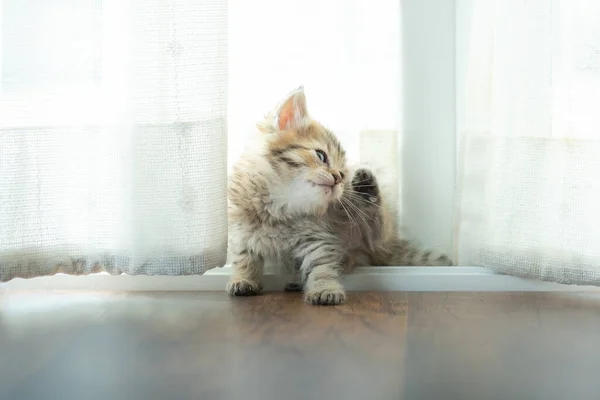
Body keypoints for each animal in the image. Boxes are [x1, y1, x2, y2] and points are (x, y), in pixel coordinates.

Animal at [225, 88, 450, 306]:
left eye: (341, 173)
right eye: (321, 155)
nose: (338, 179)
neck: (280, 208)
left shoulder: (318, 239)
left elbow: (321, 266)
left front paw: (325, 289)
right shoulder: (240, 233)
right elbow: (244, 259)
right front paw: (243, 280)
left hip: (366, 229)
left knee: (376, 227)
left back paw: (367, 188)